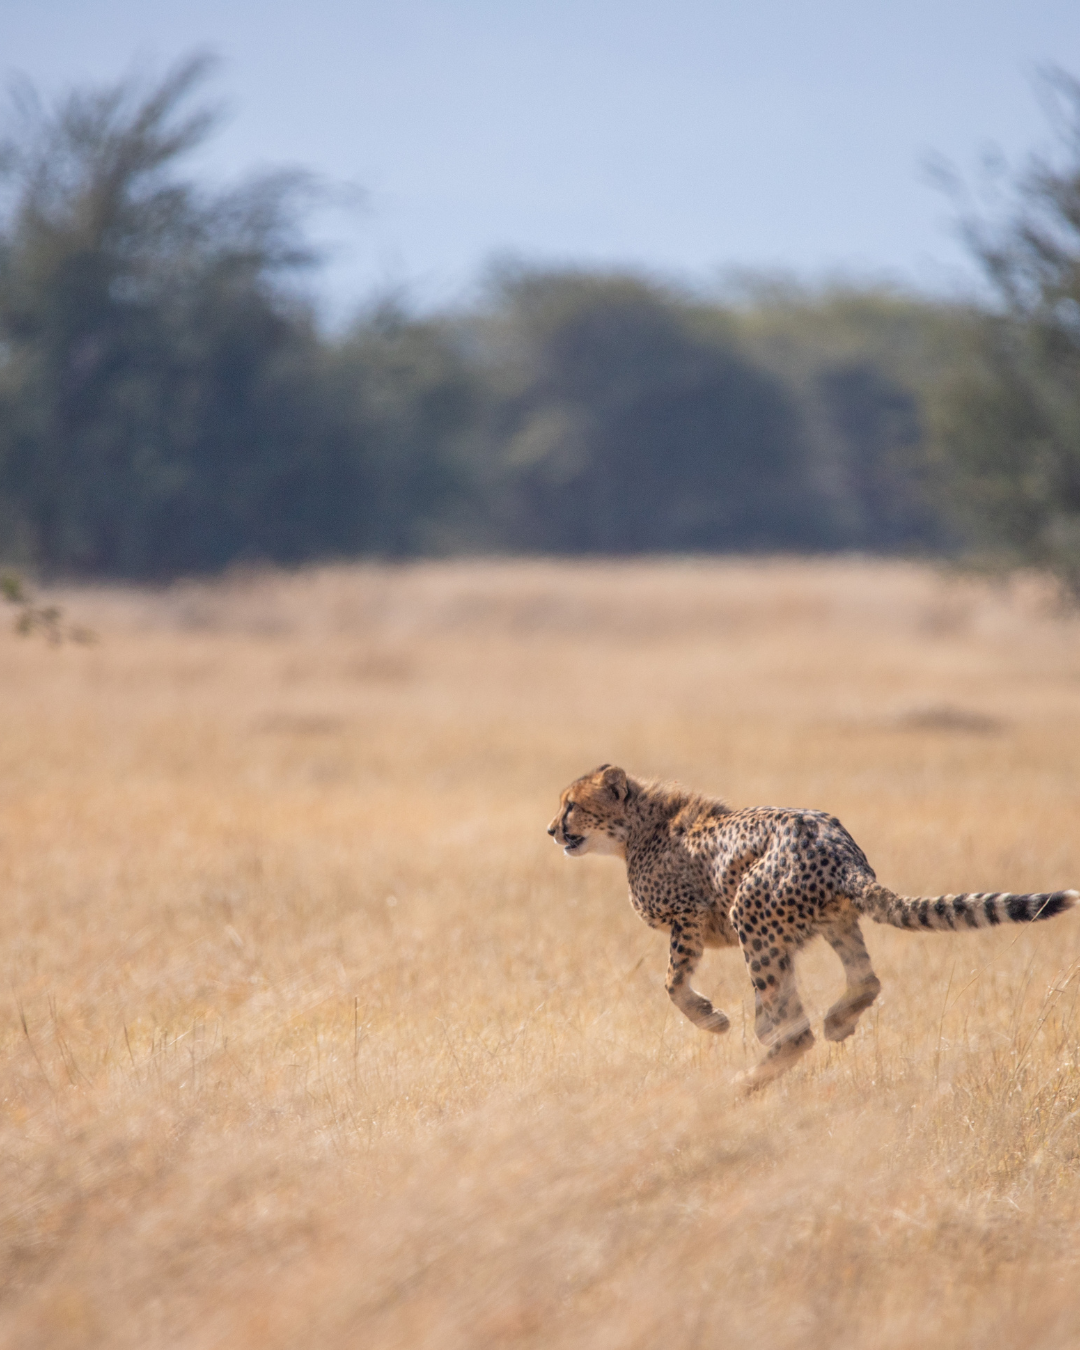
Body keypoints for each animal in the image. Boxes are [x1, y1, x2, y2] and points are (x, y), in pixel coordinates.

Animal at [547, 764, 1078, 1088]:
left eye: (571, 805)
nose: (552, 830)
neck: (638, 829)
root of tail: (841, 848)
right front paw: (751, 1021)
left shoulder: (688, 915)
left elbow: (673, 983)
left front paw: (713, 1019)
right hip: (833, 920)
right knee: (864, 981)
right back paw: (835, 1022)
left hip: (749, 912)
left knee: (799, 1031)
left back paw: (745, 1082)